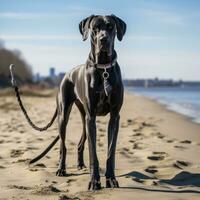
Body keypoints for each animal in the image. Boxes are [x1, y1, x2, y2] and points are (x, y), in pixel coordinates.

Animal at [10, 14, 126, 191]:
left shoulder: (114, 116)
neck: (104, 68)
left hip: (84, 117)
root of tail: (66, 74)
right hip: (64, 115)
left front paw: (111, 179)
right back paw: (61, 169)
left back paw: (80, 165)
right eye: (95, 28)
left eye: (110, 26)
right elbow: (93, 153)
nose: (103, 39)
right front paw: (94, 181)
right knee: (63, 146)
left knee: (80, 142)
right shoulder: (91, 116)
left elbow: (110, 151)